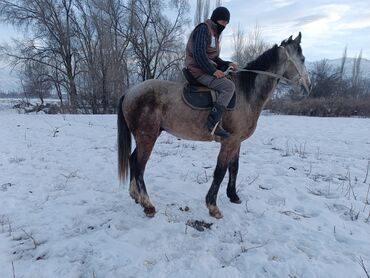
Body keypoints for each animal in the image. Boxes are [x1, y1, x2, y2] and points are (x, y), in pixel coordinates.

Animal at [117, 32, 310, 218]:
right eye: (302, 59)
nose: (307, 87)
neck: (246, 94)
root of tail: (130, 91)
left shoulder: (236, 141)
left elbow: (234, 168)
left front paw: (233, 196)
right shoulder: (229, 141)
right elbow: (220, 171)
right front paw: (213, 206)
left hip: (147, 136)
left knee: (133, 160)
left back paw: (135, 196)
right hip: (147, 137)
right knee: (140, 166)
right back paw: (147, 204)